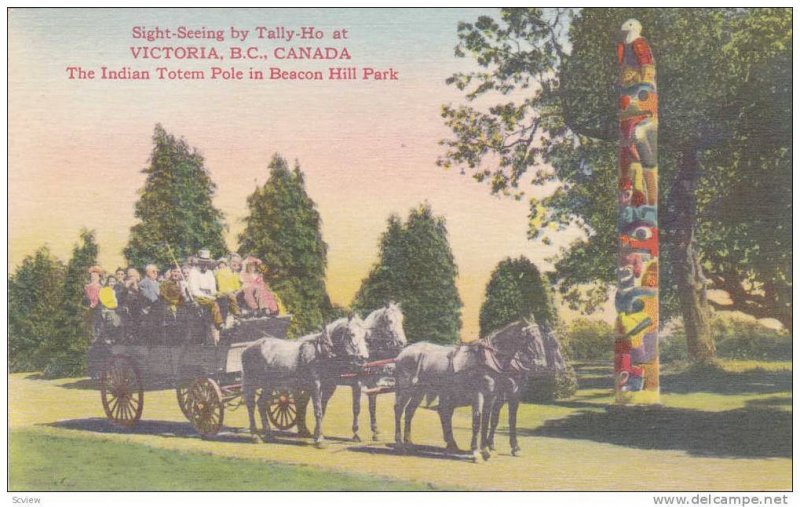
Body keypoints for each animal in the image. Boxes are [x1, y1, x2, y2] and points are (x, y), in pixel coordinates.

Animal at [242, 318, 370, 448]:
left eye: (365, 335)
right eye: (352, 334)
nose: (364, 358)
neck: (321, 353)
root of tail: (248, 347)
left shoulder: (327, 385)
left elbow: (322, 408)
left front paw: (316, 434)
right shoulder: (315, 385)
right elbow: (318, 410)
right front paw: (319, 439)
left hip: (269, 385)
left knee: (261, 404)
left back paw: (269, 435)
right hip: (251, 383)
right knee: (251, 406)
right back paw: (255, 436)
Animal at [482, 322, 568, 456]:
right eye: (552, 344)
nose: (563, 368)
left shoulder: (511, 394)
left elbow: (502, 418)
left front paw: (495, 444)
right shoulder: (504, 394)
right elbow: (501, 418)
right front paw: (512, 446)